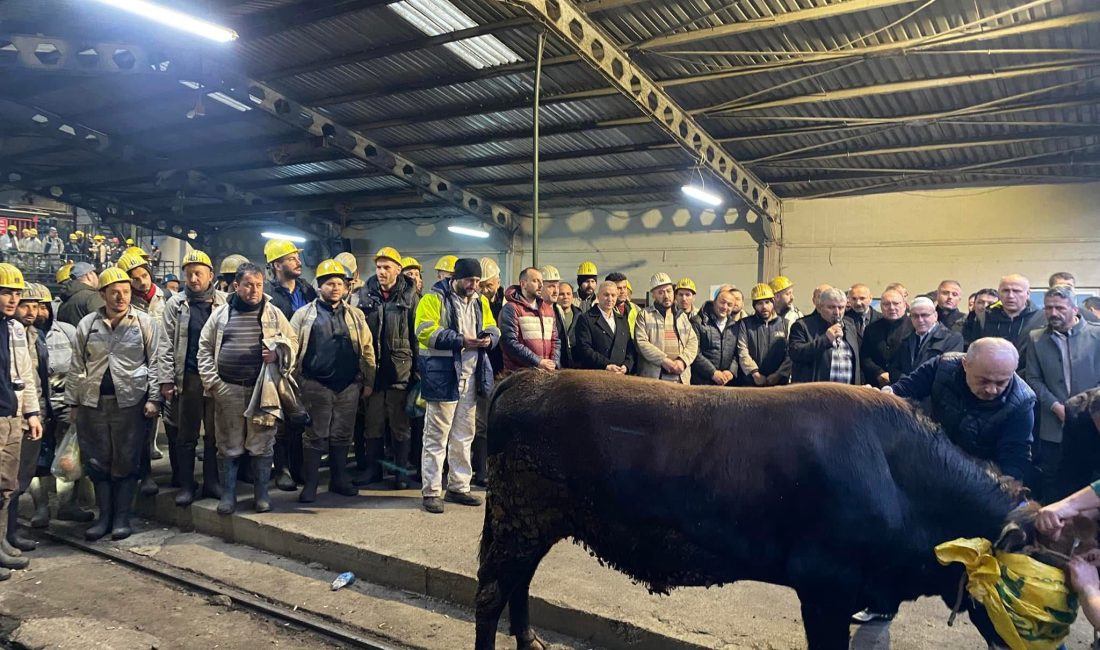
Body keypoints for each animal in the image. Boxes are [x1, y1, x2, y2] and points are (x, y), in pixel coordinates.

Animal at [475, 371, 1038, 650]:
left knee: (519, 583)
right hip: (518, 517)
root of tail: (527, 378)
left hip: (534, 521)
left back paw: (531, 643)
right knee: (491, 594)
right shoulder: (825, 587)